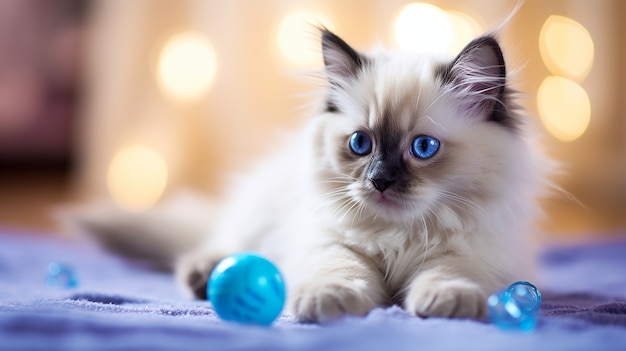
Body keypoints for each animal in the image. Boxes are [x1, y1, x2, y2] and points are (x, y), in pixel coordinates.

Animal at [68, 28, 552, 324]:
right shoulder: (330, 241)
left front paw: (447, 302)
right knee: (216, 245)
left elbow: (450, 272)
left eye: (423, 148)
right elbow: (342, 269)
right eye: (360, 143)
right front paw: (328, 302)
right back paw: (204, 274)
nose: (379, 180)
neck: (400, 236)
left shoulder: (473, 251)